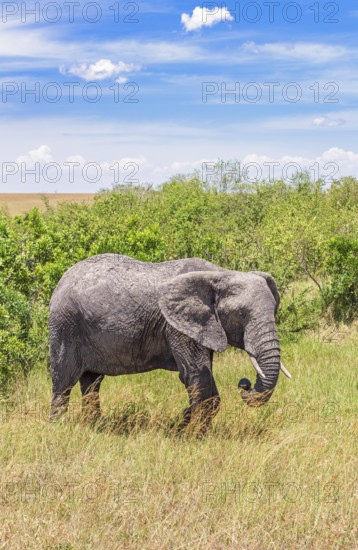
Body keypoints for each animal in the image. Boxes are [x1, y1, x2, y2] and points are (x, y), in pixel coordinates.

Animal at [49, 256, 290, 432]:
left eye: (274, 310)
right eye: (240, 315)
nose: (244, 384)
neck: (220, 274)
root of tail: (62, 279)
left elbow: (203, 379)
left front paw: (183, 422)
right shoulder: (176, 326)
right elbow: (196, 375)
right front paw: (192, 436)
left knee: (92, 382)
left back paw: (94, 427)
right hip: (65, 326)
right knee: (63, 382)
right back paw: (58, 429)